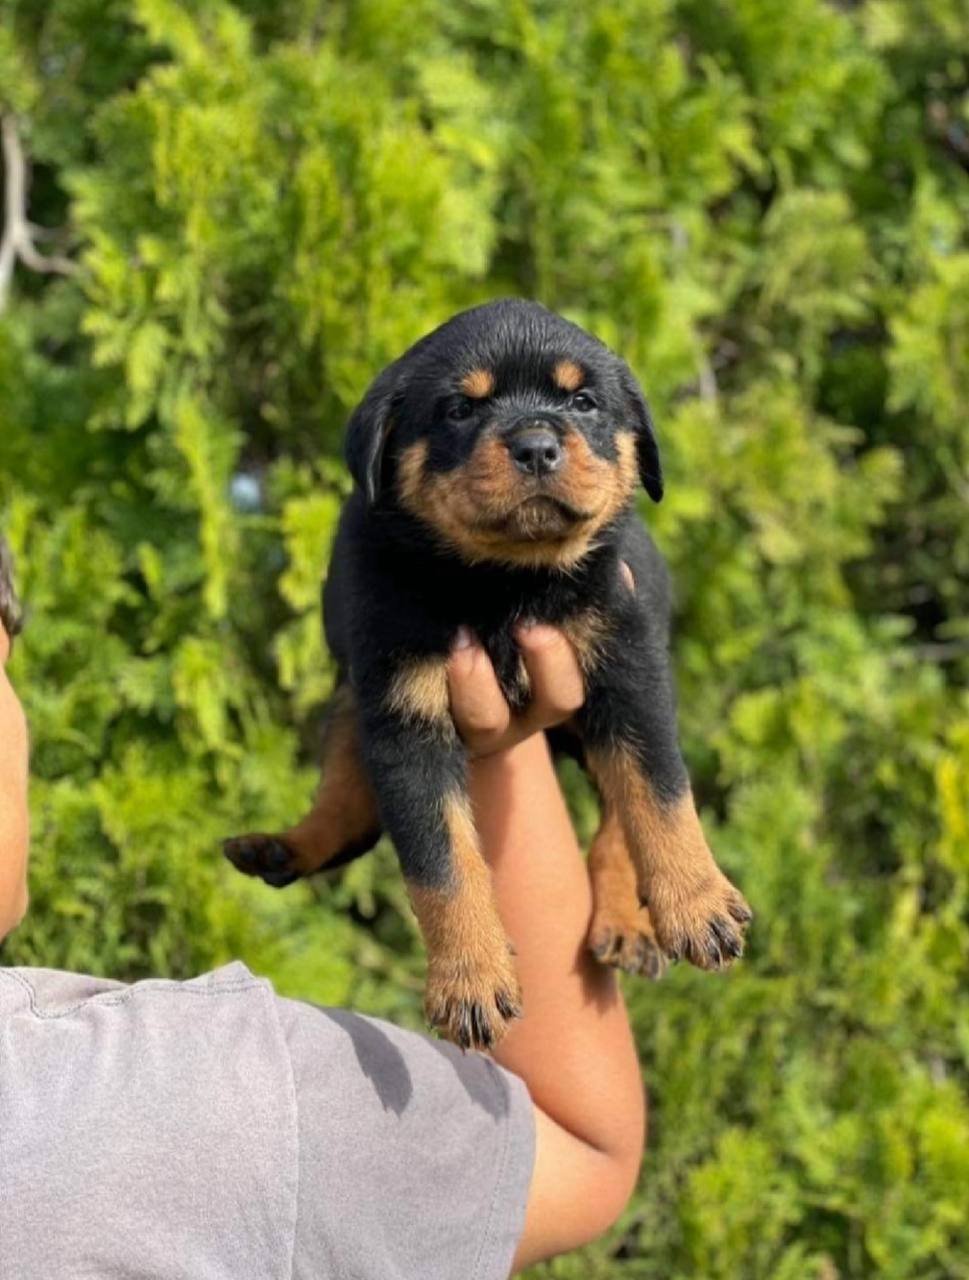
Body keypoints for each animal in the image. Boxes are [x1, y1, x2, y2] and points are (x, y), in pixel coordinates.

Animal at [225, 299, 751, 1050]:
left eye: (583, 402)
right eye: (459, 410)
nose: (535, 445)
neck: (501, 583)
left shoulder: (625, 666)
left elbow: (659, 794)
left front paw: (697, 902)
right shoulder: (404, 709)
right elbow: (440, 861)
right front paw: (470, 978)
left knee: (616, 812)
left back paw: (626, 922)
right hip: (356, 695)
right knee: (350, 809)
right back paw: (280, 849)